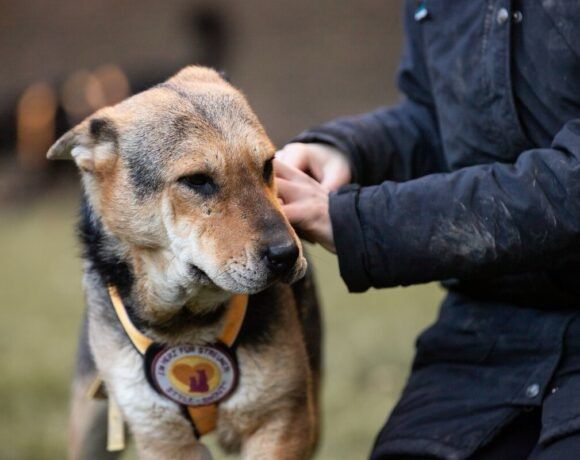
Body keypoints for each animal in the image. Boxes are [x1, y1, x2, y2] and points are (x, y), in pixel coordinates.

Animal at [47, 65, 322, 460]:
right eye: (197, 180)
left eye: (268, 165)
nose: (287, 256)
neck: (188, 323)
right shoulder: (162, 436)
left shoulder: (282, 419)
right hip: (92, 424)